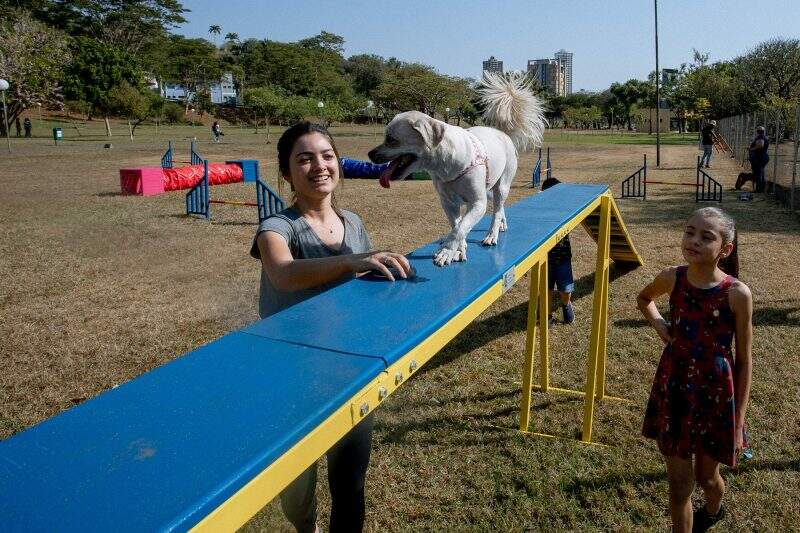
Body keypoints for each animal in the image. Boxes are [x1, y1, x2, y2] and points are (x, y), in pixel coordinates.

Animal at [368, 71, 544, 266]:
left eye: (391, 139)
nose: (370, 154)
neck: (444, 166)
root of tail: (502, 132)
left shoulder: (478, 203)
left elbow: (460, 228)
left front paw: (446, 252)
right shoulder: (448, 202)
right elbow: (457, 225)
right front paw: (458, 250)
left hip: (502, 186)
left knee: (497, 211)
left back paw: (492, 235)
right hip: (489, 189)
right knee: (500, 208)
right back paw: (502, 225)